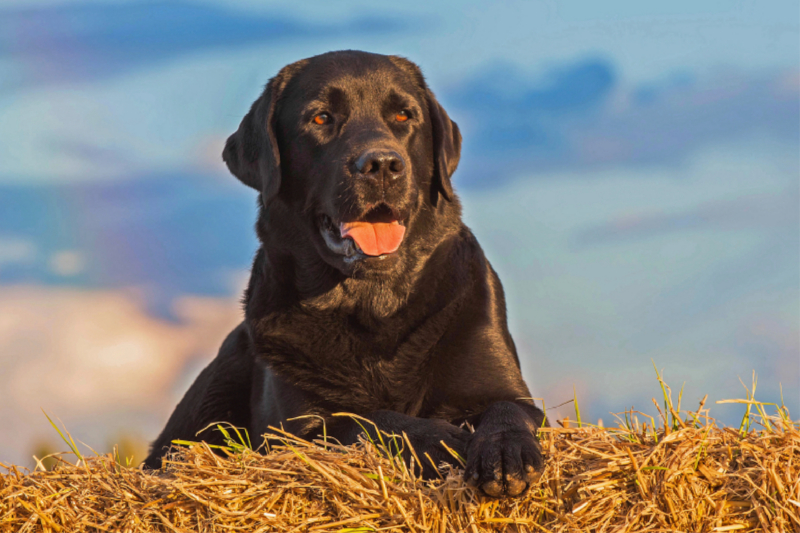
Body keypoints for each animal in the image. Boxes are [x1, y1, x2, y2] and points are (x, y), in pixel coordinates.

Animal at [142, 51, 544, 498]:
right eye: (321, 118)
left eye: (403, 115)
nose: (382, 164)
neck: (373, 305)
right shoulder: (296, 432)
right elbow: (368, 421)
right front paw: (441, 438)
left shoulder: (503, 385)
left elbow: (508, 408)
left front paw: (505, 451)